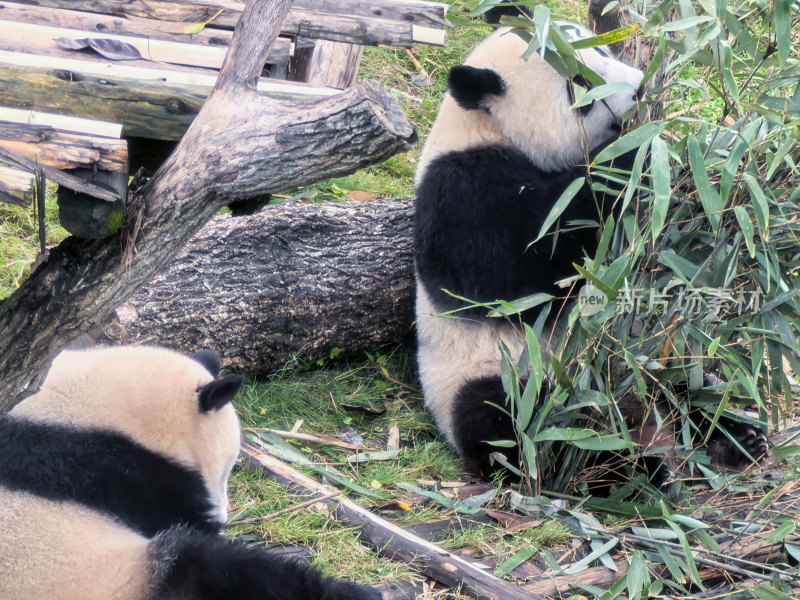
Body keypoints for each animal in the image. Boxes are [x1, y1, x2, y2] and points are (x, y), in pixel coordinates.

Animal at [412, 25, 768, 482]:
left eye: (603, 50)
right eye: (579, 84)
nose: (639, 89)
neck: (485, 127)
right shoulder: (461, 192)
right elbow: (518, 272)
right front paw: (637, 154)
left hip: (650, 352)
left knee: (687, 384)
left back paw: (737, 437)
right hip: (496, 371)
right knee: (520, 426)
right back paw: (623, 471)